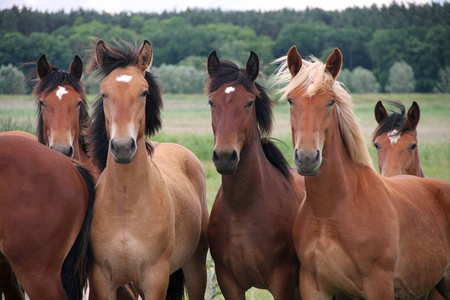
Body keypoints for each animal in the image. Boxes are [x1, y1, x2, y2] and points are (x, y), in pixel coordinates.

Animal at [85, 40, 208, 300]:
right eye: (104, 93)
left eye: (143, 92)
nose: (122, 146)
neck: (126, 207)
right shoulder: (102, 281)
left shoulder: (155, 279)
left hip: (195, 267)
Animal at [207, 50, 306, 298]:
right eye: (211, 102)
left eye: (249, 102)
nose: (225, 156)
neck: (242, 209)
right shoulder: (229, 282)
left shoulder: (281, 281)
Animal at [272, 45, 450, 298]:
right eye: (290, 100)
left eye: (331, 102)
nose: (307, 158)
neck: (330, 211)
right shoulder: (313, 286)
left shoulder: (379, 285)